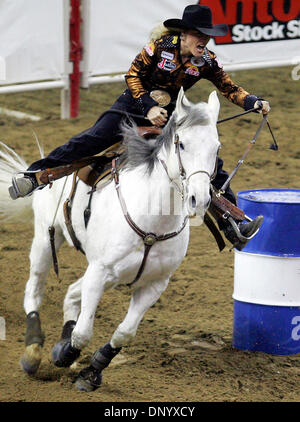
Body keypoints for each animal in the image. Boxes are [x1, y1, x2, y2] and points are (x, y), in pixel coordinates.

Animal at [0, 89, 220, 392]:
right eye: (182, 144)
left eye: (217, 148)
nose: (200, 199)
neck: (152, 224)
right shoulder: (99, 271)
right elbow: (82, 333)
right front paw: (65, 353)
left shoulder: (154, 284)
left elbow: (124, 333)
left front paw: (91, 372)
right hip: (46, 239)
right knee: (34, 289)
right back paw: (33, 351)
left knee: (71, 292)